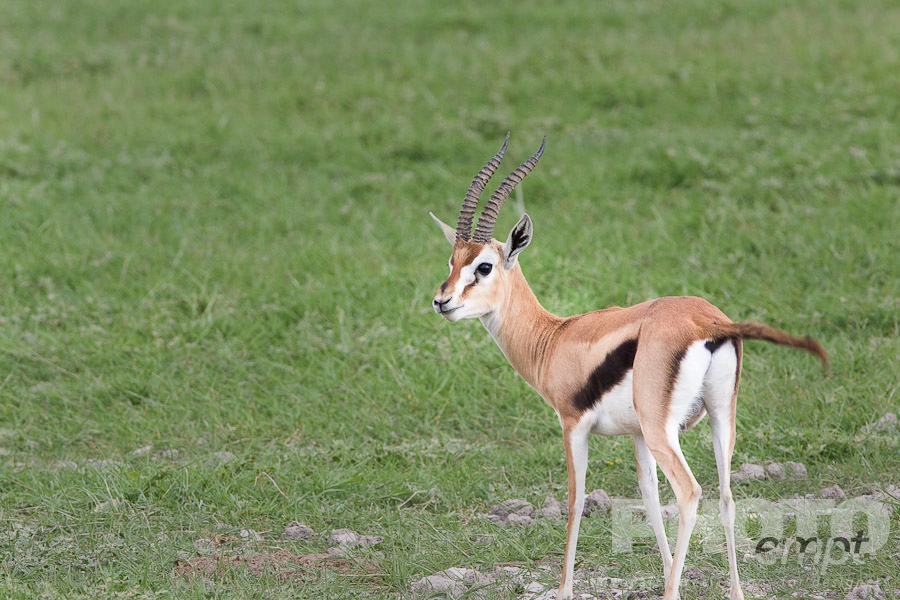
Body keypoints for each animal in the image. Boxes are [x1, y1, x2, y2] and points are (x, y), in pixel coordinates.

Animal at [430, 134, 828, 600]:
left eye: (484, 266)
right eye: (452, 261)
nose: (442, 301)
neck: (554, 338)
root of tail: (709, 323)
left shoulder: (574, 425)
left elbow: (576, 499)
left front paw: (564, 589)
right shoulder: (636, 435)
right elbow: (649, 497)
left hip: (664, 430)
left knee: (691, 493)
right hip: (718, 417)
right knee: (727, 496)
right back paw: (733, 592)